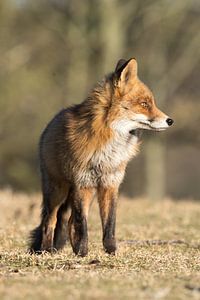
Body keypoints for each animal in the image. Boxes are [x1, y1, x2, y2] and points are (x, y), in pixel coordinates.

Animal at [29, 58, 173, 255]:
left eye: (151, 103)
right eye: (144, 104)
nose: (170, 120)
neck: (108, 150)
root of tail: (48, 125)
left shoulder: (110, 183)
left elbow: (109, 223)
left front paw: (111, 251)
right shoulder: (83, 183)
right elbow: (82, 224)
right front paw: (83, 253)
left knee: (69, 221)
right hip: (58, 191)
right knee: (49, 222)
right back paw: (47, 251)